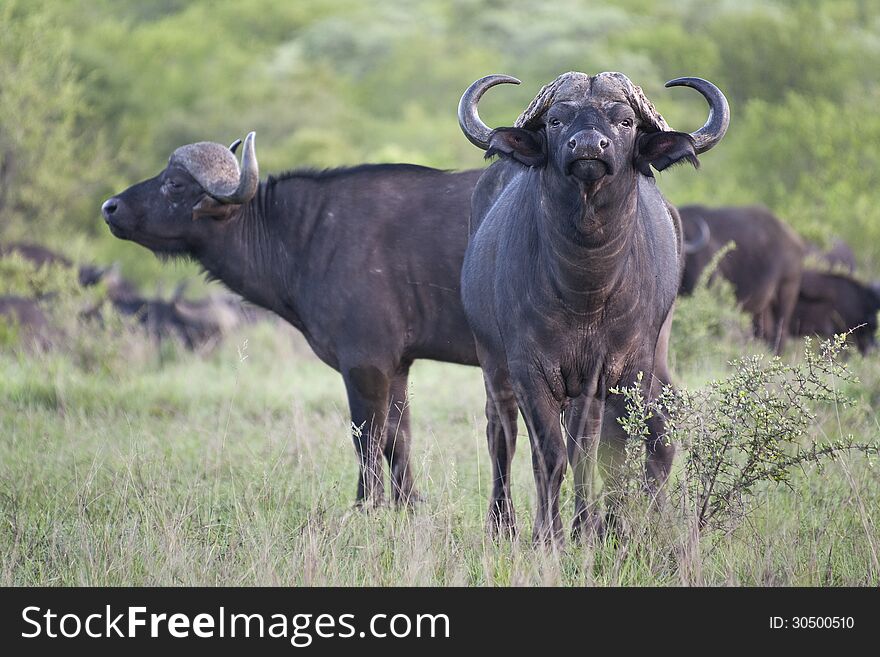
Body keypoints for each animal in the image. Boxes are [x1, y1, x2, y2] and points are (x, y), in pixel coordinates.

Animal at [458, 73, 732, 544]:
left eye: (625, 121)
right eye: (556, 120)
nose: (588, 145)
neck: (585, 286)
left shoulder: (626, 371)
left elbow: (608, 456)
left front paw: (610, 532)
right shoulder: (530, 370)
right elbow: (548, 455)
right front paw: (546, 537)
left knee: (602, 441)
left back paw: (594, 522)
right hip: (492, 360)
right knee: (501, 432)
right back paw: (503, 524)